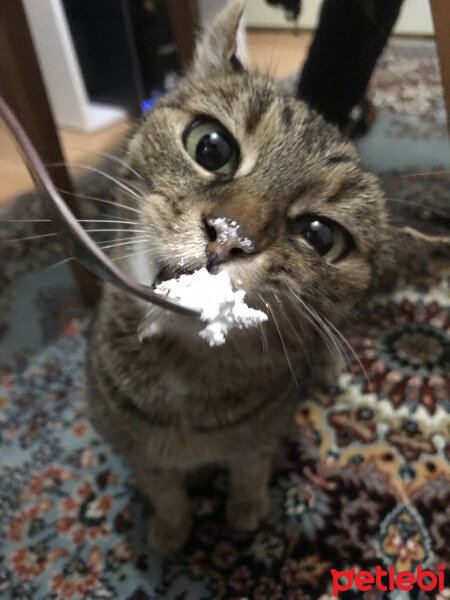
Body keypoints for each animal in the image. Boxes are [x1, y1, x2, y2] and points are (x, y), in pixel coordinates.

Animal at [85, 0, 408, 552]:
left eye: (320, 236)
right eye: (211, 147)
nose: (229, 235)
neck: (183, 377)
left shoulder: (261, 438)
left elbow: (250, 470)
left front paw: (245, 509)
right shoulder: (136, 450)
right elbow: (163, 490)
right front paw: (170, 529)